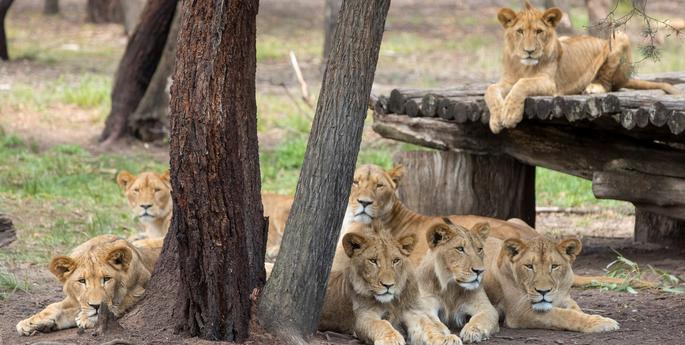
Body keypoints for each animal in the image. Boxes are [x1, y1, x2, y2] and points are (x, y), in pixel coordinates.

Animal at [16, 235, 162, 334]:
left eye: (106, 279)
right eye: (82, 281)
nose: (96, 306)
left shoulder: (140, 289)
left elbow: (119, 304)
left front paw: (86, 319)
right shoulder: (76, 300)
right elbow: (54, 306)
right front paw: (30, 322)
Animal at [320, 223, 460, 344]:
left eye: (396, 261)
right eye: (373, 261)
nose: (388, 285)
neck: (391, 302)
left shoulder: (413, 313)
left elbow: (429, 327)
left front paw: (445, 339)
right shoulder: (364, 315)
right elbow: (382, 324)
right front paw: (392, 339)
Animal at [480, 235, 620, 332]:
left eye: (554, 266)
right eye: (529, 266)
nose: (543, 291)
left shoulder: (565, 298)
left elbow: (576, 310)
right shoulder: (519, 311)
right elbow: (565, 315)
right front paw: (602, 323)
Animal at [484, 0, 680, 133]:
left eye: (539, 32)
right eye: (520, 31)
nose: (529, 51)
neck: (522, 66)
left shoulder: (550, 84)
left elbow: (522, 84)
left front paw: (510, 115)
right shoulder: (507, 80)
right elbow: (490, 89)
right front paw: (496, 119)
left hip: (620, 36)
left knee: (609, 84)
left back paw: (593, 87)